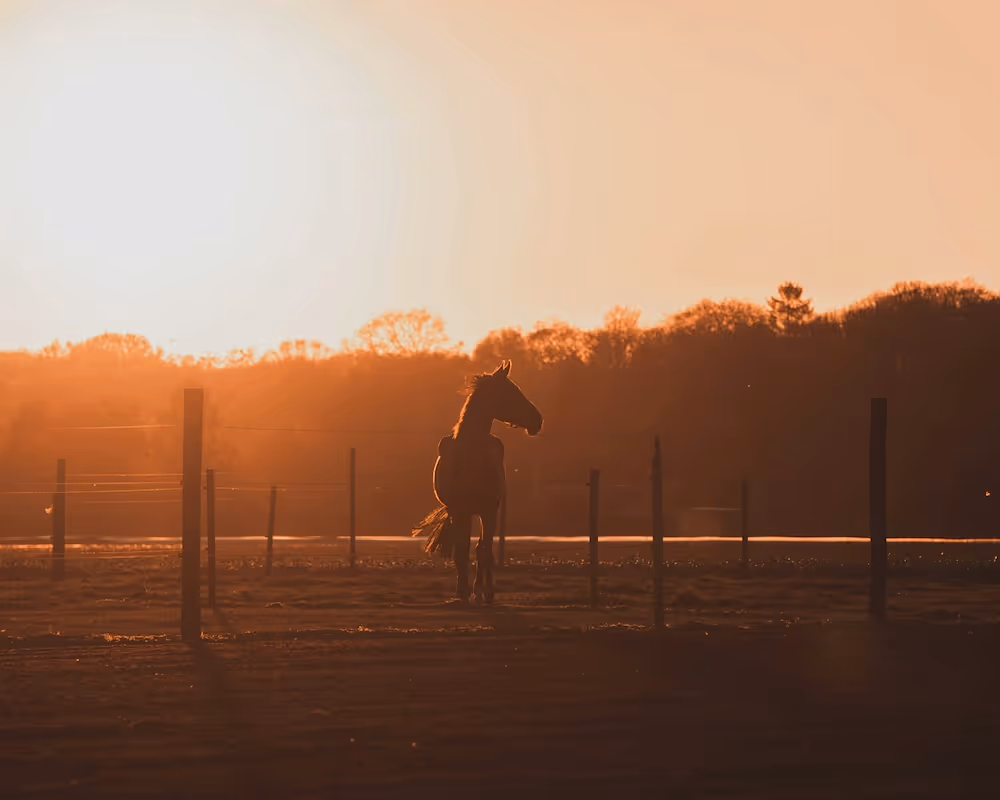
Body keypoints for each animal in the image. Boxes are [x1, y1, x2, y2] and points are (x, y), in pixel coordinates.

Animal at [412, 360, 543, 603]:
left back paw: (483, 590)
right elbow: (462, 550)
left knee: (483, 548)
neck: (469, 456)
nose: (537, 420)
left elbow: (484, 550)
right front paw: (462, 591)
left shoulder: (489, 510)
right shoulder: (459, 510)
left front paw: (484, 591)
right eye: (512, 391)